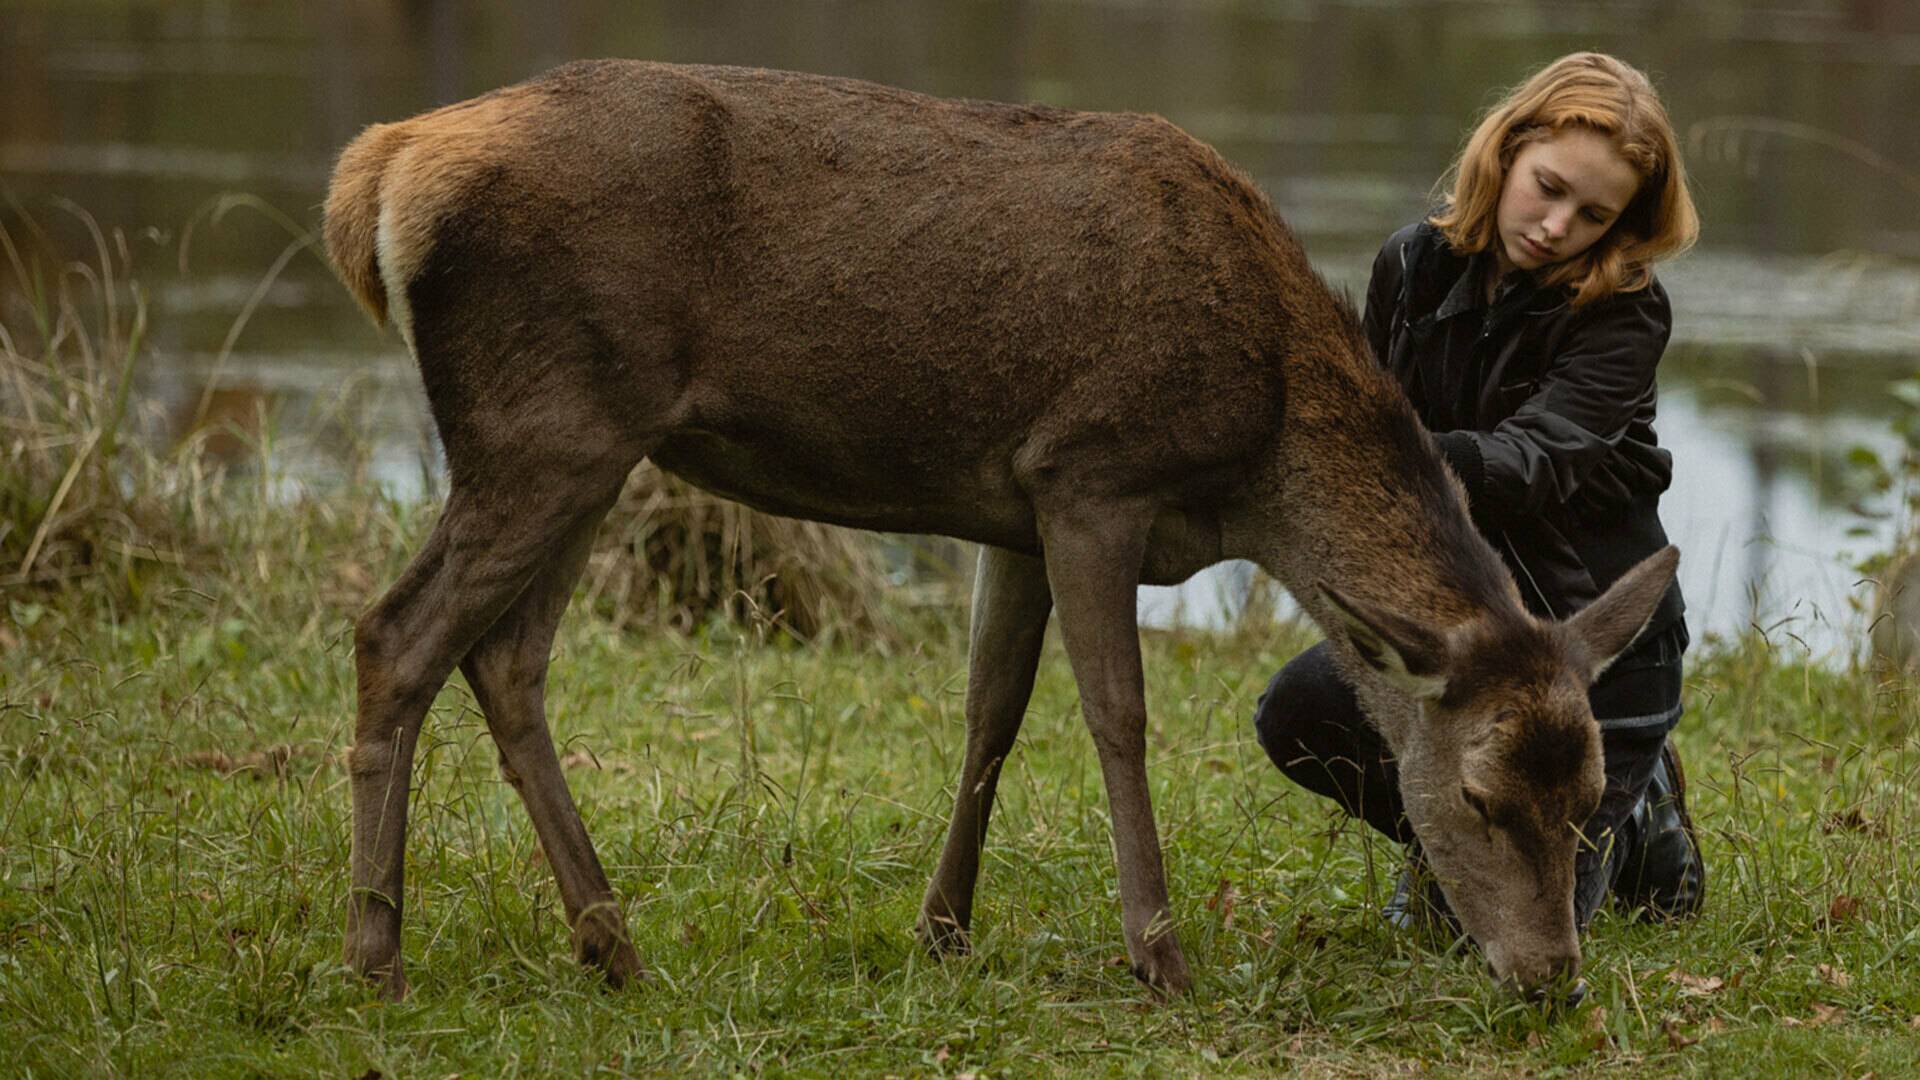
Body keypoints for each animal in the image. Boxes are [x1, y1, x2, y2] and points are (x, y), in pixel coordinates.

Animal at [322, 58, 1674, 999]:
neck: (1258, 458)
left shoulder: (1011, 509)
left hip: (591, 441)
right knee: (397, 635)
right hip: (544, 423)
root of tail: (383, 168)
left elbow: (992, 711)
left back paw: (611, 946)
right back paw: (379, 958)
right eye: (1481, 797)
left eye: (1589, 796)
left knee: (507, 658)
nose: (1553, 976)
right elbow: (1117, 716)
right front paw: (1158, 955)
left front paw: (944, 928)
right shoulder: (1087, 473)